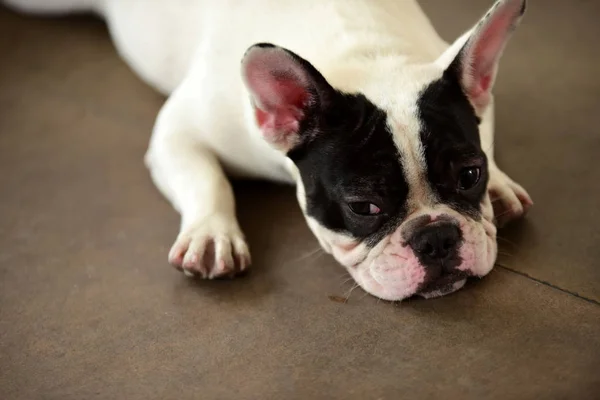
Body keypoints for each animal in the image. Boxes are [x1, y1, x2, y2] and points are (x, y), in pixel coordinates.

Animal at [4, 0, 536, 300]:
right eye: (363, 207)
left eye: (470, 175)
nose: (437, 238)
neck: (364, 55)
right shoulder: (178, 130)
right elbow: (207, 179)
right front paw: (211, 235)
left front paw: (501, 185)